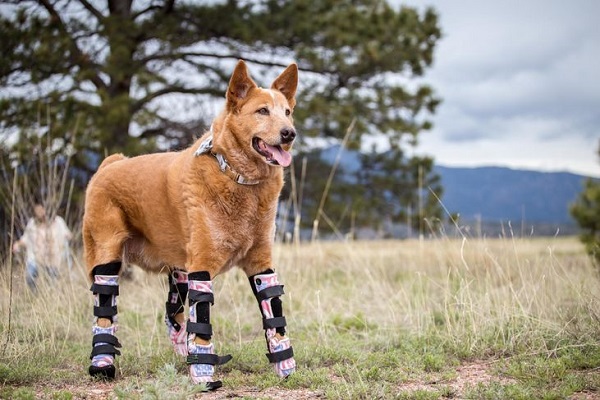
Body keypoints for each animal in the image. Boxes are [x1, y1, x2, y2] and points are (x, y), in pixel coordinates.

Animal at [82, 61, 298, 390]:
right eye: (262, 111)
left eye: (286, 111)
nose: (290, 133)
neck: (238, 178)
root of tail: (110, 164)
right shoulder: (202, 266)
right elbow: (203, 320)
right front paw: (204, 373)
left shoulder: (261, 263)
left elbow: (273, 314)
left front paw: (285, 366)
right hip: (106, 254)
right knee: (104, 309)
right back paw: (102, 363)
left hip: (178, 268)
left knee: (173, 313)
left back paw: (184, 352)